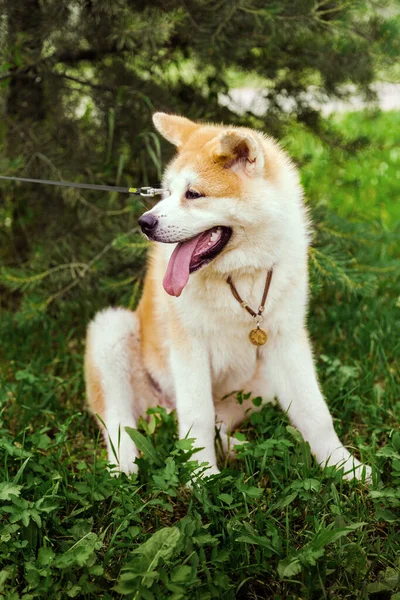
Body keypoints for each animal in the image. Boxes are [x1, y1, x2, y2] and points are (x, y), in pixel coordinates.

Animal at [85, 111, 372, 478]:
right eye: (167, 191)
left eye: (193, 194)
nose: (144, 222)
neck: (239, 275)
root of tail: (161, 407)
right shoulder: (189, 347)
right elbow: (197, 418)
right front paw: (202, 475)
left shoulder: (288, 342)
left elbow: (315, 412)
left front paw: (344, 466)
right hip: (112, 331)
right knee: (119, 421)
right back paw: (123, 465)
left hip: (262, 383)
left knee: (218, 421)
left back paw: (236, 448)